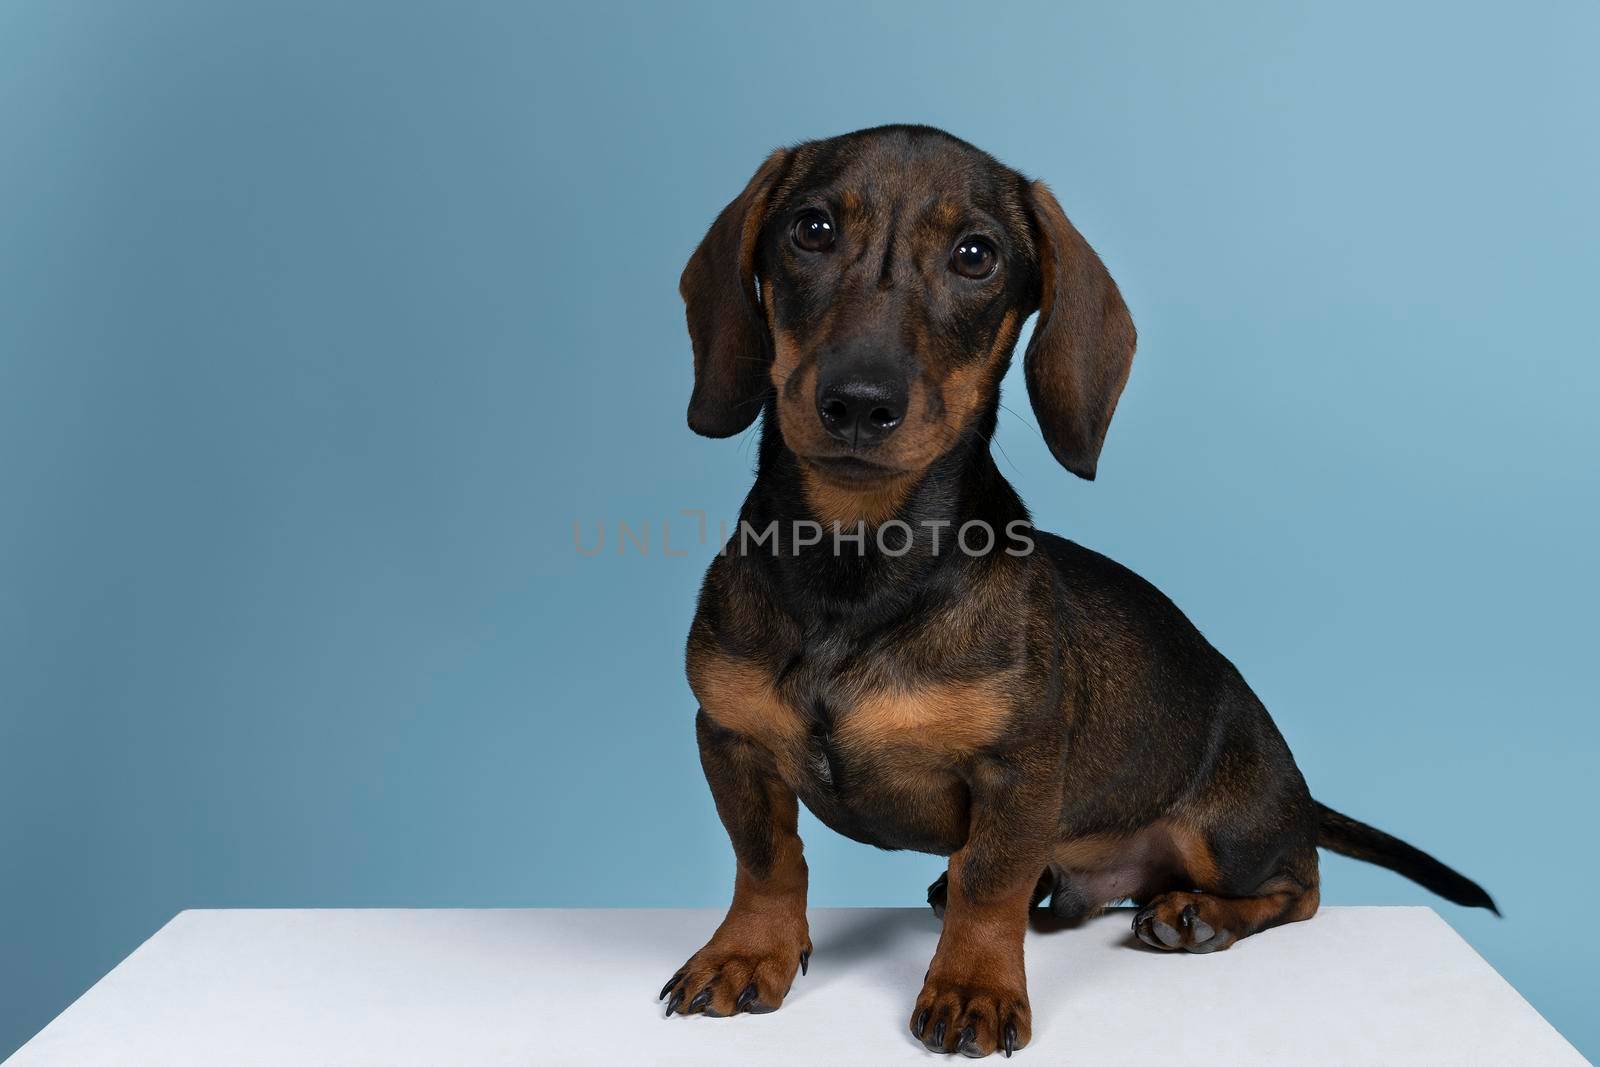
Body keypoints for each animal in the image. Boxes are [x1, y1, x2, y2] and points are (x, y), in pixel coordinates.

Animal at [656, 125, 1491, 1062]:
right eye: (812, 229)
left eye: (975, 255)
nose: (859, 402)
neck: (857, 563)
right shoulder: (729, 736)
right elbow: (767, 859)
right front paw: (747, 952)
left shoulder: (1018, 770)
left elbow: (989, 880)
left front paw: (973, 985)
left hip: (1228, 833)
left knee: (1300, 886)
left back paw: (1196, 914)